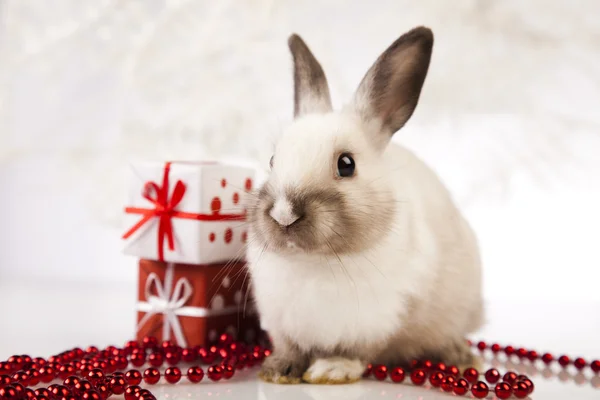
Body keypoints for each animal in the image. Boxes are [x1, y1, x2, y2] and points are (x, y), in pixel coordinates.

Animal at [246, 25, 486, 384]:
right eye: (273, 161)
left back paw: (462, 357)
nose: (284, 214)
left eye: (346, 164)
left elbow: (357, 354)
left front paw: (331, 370)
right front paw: (278, 371)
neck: (315, 262)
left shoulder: (377, 322)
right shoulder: (281, 319)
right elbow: (290, 348)